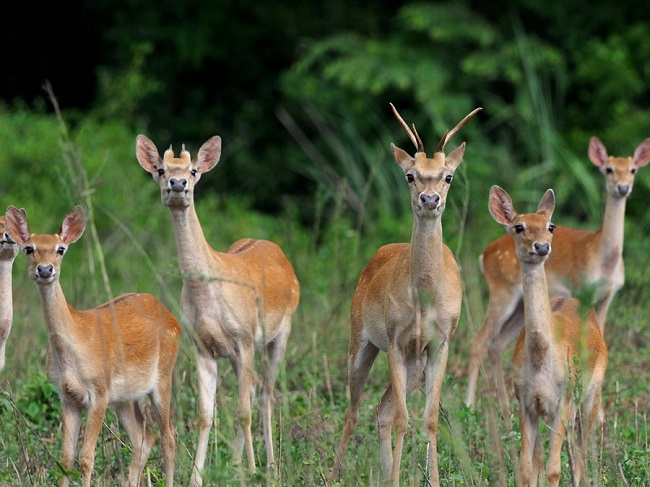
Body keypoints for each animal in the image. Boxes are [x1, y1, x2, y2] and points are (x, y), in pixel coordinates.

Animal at [4, 206, 180, 487]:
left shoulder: (99, 391)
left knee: (169, 435)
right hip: (125, 398)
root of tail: (172, 317)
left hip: (163, 377)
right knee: (143, 438)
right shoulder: (68, 396)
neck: (73, 349)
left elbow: (86, 458)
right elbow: (65, 459)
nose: (45, 269)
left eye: (61, 249)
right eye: (29, 248)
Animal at [136, 132, 302, 486]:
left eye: (194, 170)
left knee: (264, 395)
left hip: (280, 333)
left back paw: (268, 468)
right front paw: (196, 478)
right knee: (252, 390)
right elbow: (205, 414)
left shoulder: (244, 337)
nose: (178, 183)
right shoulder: (203, 347)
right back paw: (239, 463)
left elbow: (242, 412)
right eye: (160, 169)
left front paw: (250, 473)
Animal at [332, 103, 478, 484]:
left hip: (416, 362)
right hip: (361, 343)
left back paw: (384, 476)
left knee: (380, 412)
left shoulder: (439, 344)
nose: (430, 199)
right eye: (410, 175)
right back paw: (334, 474)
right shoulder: (396, 340)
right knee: (354, 411)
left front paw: (433, 479)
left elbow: (429, 420)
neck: (425, 299)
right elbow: (403, 419)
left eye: (448, 176)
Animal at [464, 137, 648, 412]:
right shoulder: (580, 288)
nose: (622, 187)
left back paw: (504, 408)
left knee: (496, 344)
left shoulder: (607, 297)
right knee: (478, 341)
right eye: (609, 169)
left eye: (633, 170)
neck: (604, 258)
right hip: (501, 291)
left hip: (518, 306)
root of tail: (484, 255)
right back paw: (470, 404)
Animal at [486, 186, 608, 487]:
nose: (541, 247)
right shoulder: (526, 402)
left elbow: (554, 469)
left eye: (550, 226)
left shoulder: (562, 400)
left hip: (591, 392)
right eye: (519, 226)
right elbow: (527, 469)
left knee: (581, 452)